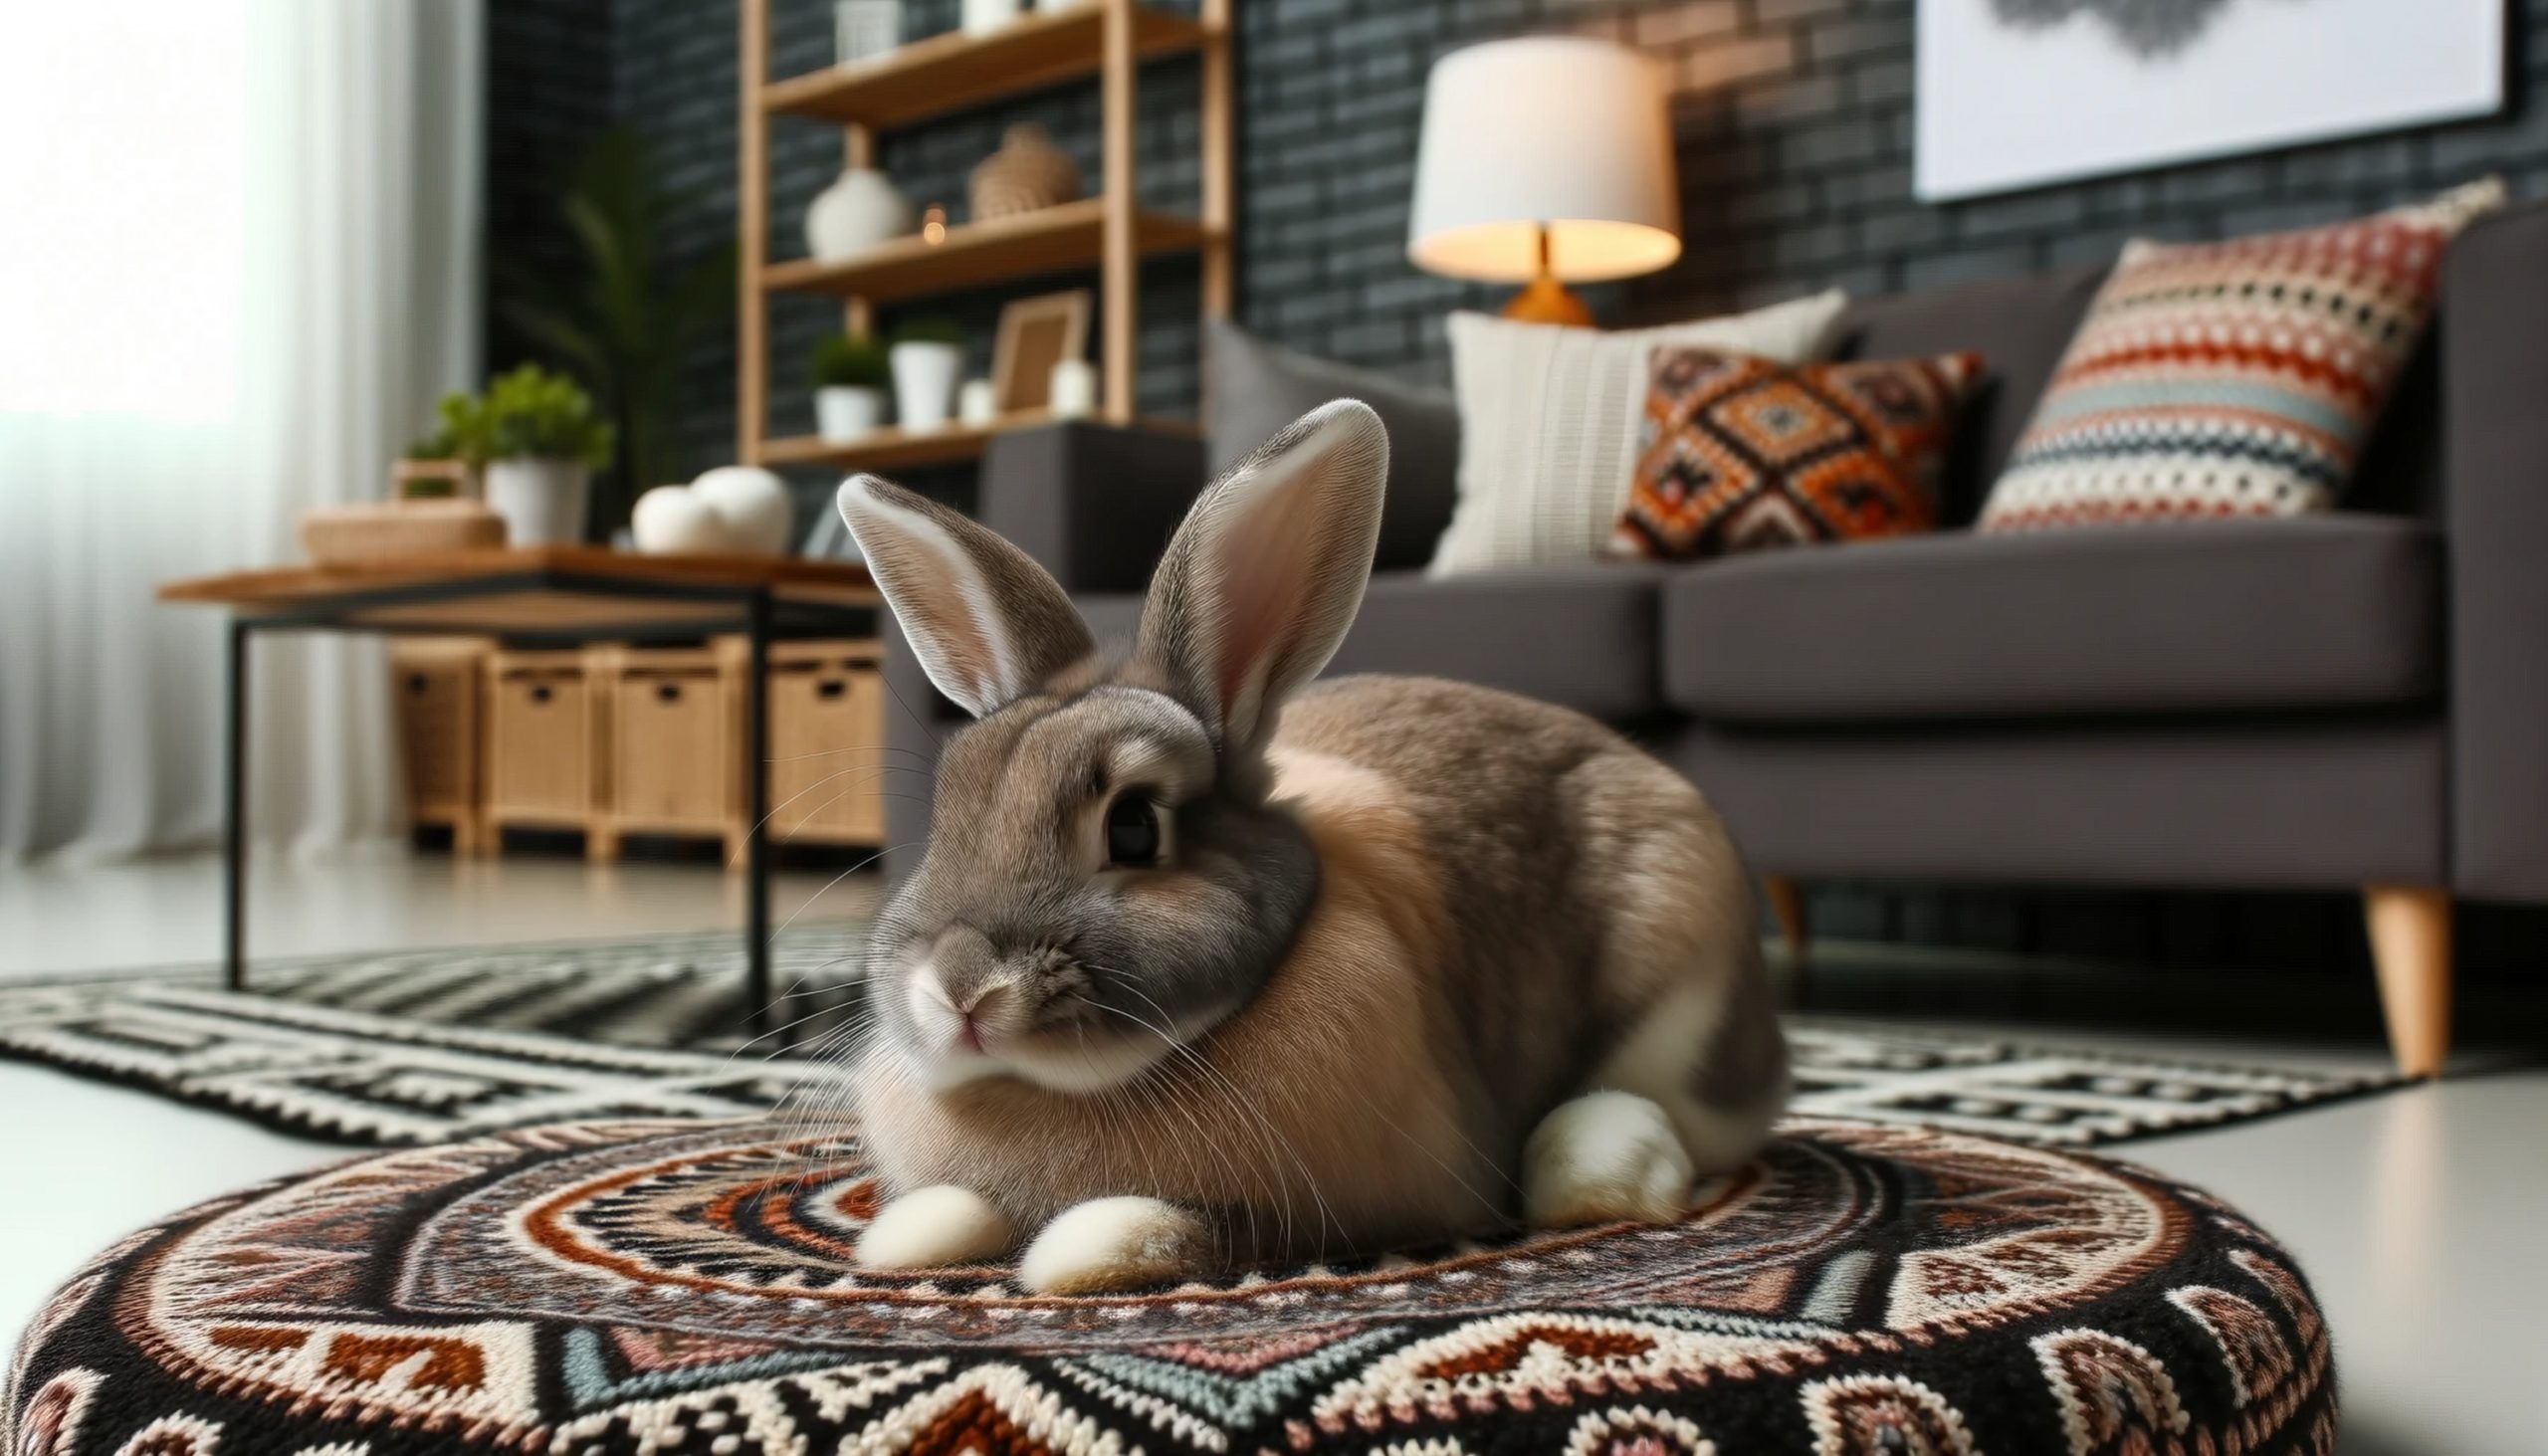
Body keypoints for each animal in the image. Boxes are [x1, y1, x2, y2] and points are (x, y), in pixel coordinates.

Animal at [828, 399, 1788, 1295]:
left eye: (1134, 826)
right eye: (948, 805)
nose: (962, 990)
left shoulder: (1364, 1203)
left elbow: (1171, 1229)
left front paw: (1076, 1249)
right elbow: (950, 1204)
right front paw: (899, 1237)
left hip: (1677, 983)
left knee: (1675, 1123)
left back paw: (1594, 1174)